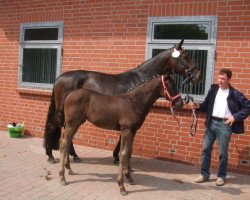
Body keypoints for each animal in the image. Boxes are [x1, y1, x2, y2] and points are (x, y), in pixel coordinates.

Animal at [43, 38, 201, 163]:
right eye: (185, 56)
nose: (197, 75)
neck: (140, 80)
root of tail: (59, 78)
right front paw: (117, 158)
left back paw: (73, 155)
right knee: (52, 126)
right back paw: (50, 156)